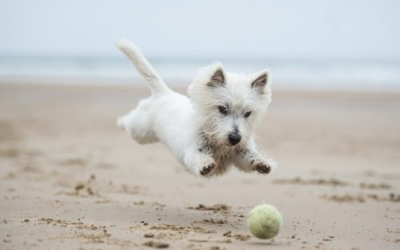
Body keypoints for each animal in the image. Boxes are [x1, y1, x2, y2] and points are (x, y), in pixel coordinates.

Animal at [117, 38, 276, 176]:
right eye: (222, 109)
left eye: (248, 113)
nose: (235, 138)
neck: (217, 140)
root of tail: (164, 93)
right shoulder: (193, 150)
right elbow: (197, 157)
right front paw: (205, 165)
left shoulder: (239, 153)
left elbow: (249, 157)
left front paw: (262, 163)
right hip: (141, 131)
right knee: (130, 121)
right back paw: (120, 121)